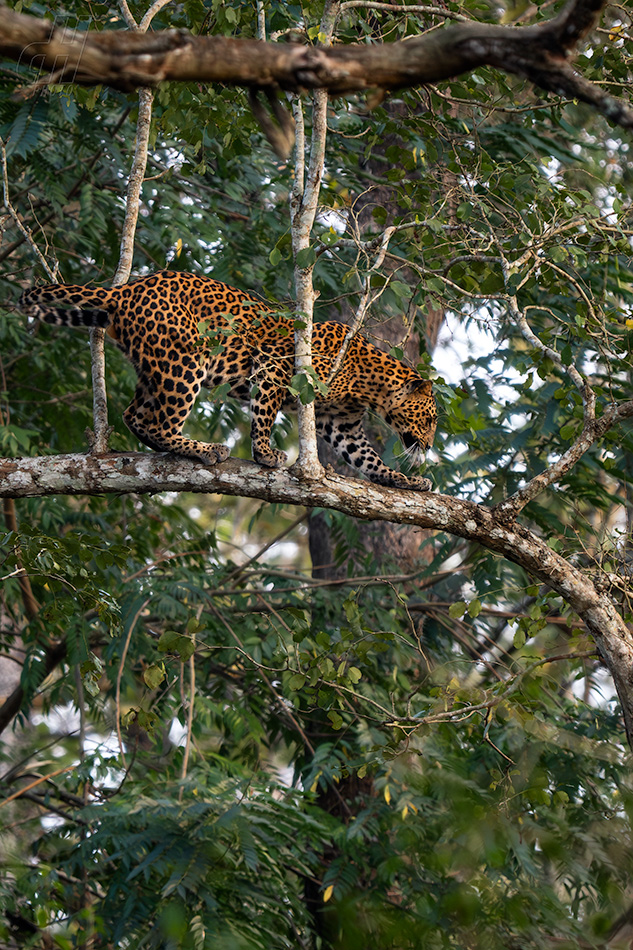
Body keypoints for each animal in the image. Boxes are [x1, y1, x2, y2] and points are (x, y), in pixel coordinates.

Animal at [17, 268, 436, 490]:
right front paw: (265, 455)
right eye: (430, 419)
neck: (368, 385)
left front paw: (405, 480)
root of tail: (125, 289)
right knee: (158, 421)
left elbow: (367, 458)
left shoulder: (342, 423)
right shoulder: (274, 365)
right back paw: (204, 449)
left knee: (135, 415)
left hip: (155, 366)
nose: (430, 446)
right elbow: (264, 413)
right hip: (184, 362)